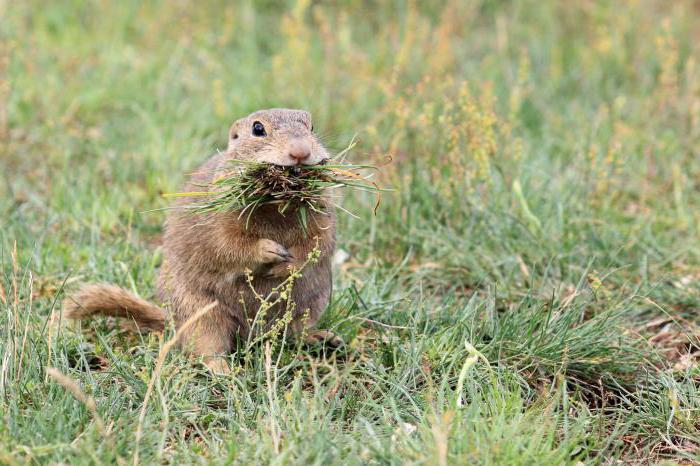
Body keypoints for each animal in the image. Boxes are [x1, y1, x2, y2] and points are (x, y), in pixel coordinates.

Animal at [64, 107, 340, 374]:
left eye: (311, 126)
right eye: (258, 129)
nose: (301, 151)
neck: (275, 205)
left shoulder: (323, 211)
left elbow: (318, 242)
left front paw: (289, 265)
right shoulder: (217, 219)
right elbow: (229, 245)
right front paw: (270, 251)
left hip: (310, 305)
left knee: (292, 333)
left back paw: (323, 338)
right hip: (201, 313)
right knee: (207, 346)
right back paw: (224, 370)